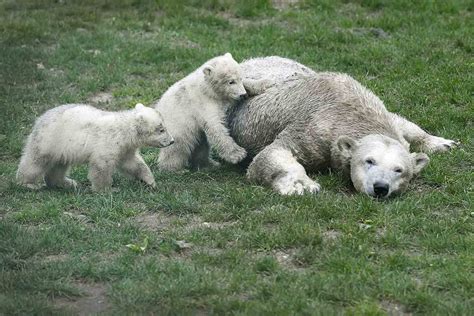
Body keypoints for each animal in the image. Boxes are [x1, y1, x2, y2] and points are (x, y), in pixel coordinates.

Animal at [16, 103, 174, 193]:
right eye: (161, 129)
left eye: (164, 126)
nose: (172, 141)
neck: (124, 130)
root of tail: (40, 118)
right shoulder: (108, 143)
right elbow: (101, 167)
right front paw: (108, 190)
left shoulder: (125, 148)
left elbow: (133, 163)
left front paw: (150, 181)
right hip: (49, 141)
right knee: (35, 162)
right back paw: (28, 184)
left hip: (61, 148)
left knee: (59, 166)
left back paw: (67, 183)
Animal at [226, 55, 456, 196]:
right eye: (369, 161)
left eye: (399, 170)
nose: (381, 187)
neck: (350, 112)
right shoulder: (315, 129)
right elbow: (273, 153)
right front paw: (302, 185)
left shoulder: (380, 110)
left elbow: (402, 121)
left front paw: (442, 143)